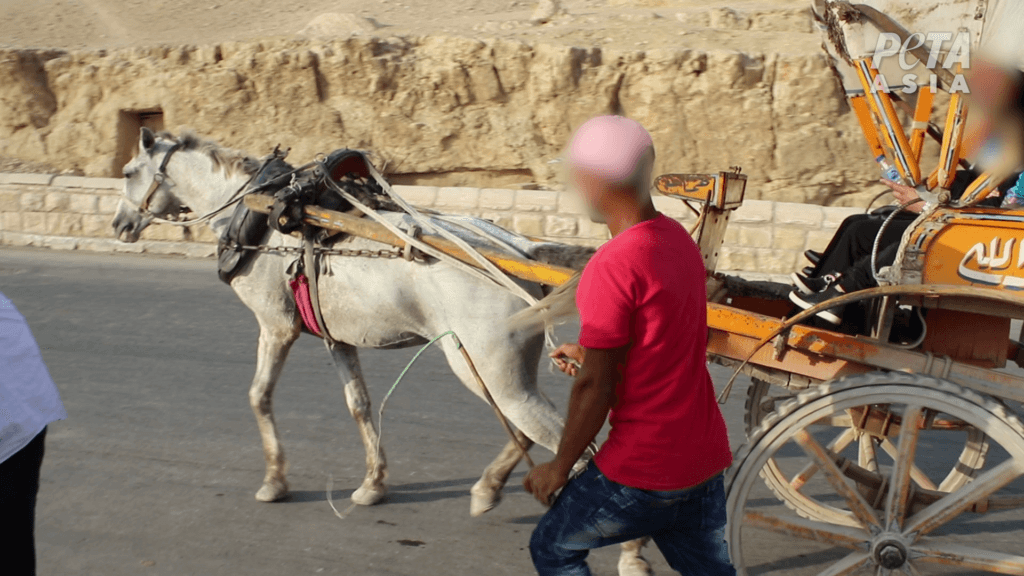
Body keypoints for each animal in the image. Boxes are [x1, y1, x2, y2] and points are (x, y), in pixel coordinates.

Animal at [111, 128, 653, 575]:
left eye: (129, 172)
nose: (119, 225)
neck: (265, 213)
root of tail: (521, 249)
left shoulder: (275, 326)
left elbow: (258, 397)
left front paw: (274, 480)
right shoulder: (337, 338)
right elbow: (359, 404)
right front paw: (373, 483)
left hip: (485, 364)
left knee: (568, 441)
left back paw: (630, 548)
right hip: (487, 364)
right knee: (530, 428)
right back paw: (488, 489)